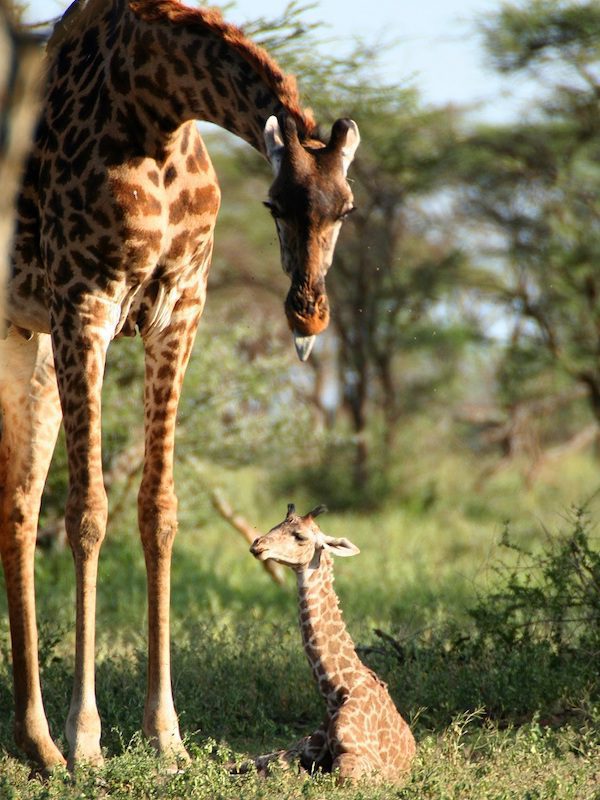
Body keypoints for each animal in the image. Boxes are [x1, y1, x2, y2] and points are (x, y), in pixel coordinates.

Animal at [0, 0, 356, 776]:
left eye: (345, 208)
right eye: (273, 204)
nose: (308, 316)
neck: (154, 111)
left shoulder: (179, 313)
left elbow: (157, 510)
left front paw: (165, 737)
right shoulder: (85, 306)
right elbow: (89, 514)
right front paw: (88, 741)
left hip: (25, 337)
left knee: (16, 506)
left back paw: (36, 745)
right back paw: (51, 743)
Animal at [247, 504, 412, 784]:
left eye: (300, 536)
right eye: (274, 526)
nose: (258, 545)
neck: (337, 691)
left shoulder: (364, 763)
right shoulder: (307, 750)